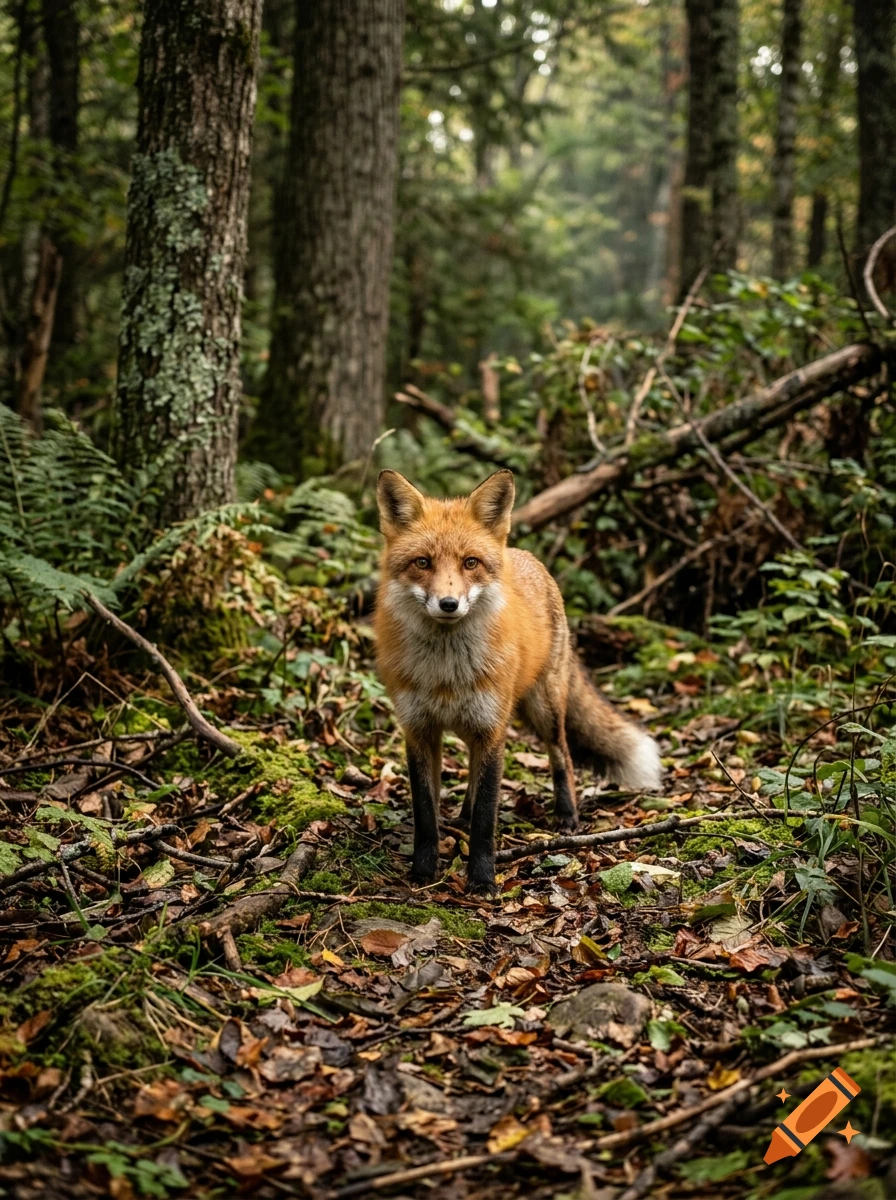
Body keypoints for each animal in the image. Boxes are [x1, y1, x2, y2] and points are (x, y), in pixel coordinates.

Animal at [374, 468, 662, 894]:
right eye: (422, 562)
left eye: (470, 563)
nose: (448, 604)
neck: (446, 672)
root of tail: (525, 555)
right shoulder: (419, 729)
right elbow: (426, 813)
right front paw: (423, 871)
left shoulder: (492, 729)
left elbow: (486, 818)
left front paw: (482, 879)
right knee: (473, 775)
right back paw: (461, 815)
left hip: (542, 710)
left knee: (563, 756)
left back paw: (567, 815)